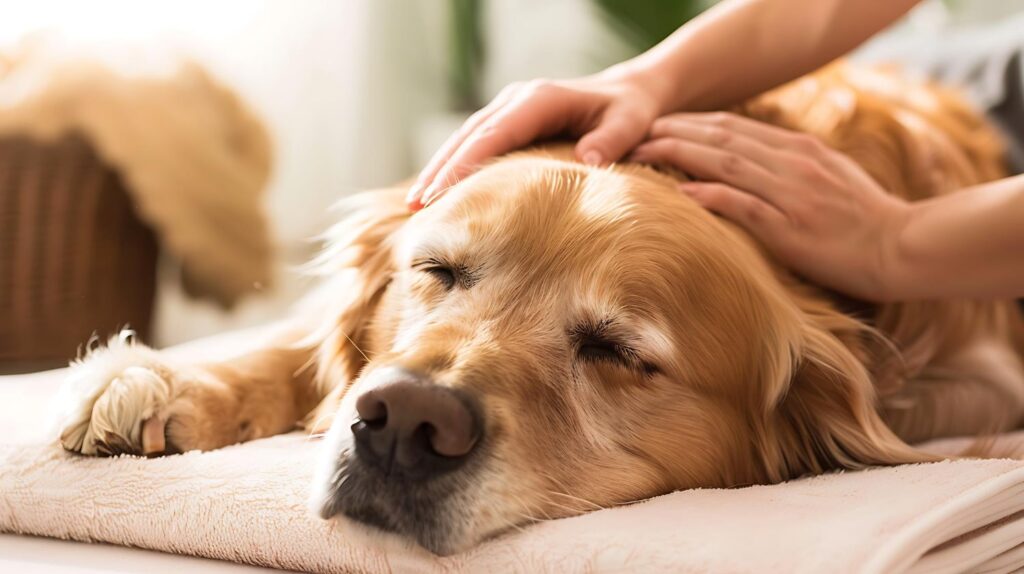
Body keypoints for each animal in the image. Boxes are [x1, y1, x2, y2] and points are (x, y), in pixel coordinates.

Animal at [51, 64, 1024, 552]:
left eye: (618, 350)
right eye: (437, 271)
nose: (405, 422)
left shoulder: (978, 379)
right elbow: (300, 351)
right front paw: (156, 382)